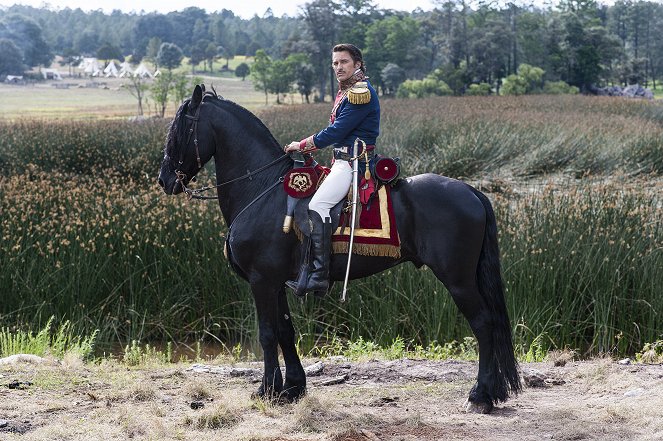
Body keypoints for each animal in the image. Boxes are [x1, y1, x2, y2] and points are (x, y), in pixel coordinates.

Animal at [158, 86, 520, 412]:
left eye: (179, 129)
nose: (165, 180)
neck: (262, 189)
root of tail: (472, 192)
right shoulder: (276, 283)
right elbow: (285, 331)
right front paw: (292, 388)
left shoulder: (262, 281)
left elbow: (267, 334)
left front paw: (267, 391)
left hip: (458, 280)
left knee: (483, 324)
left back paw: (480, 396)